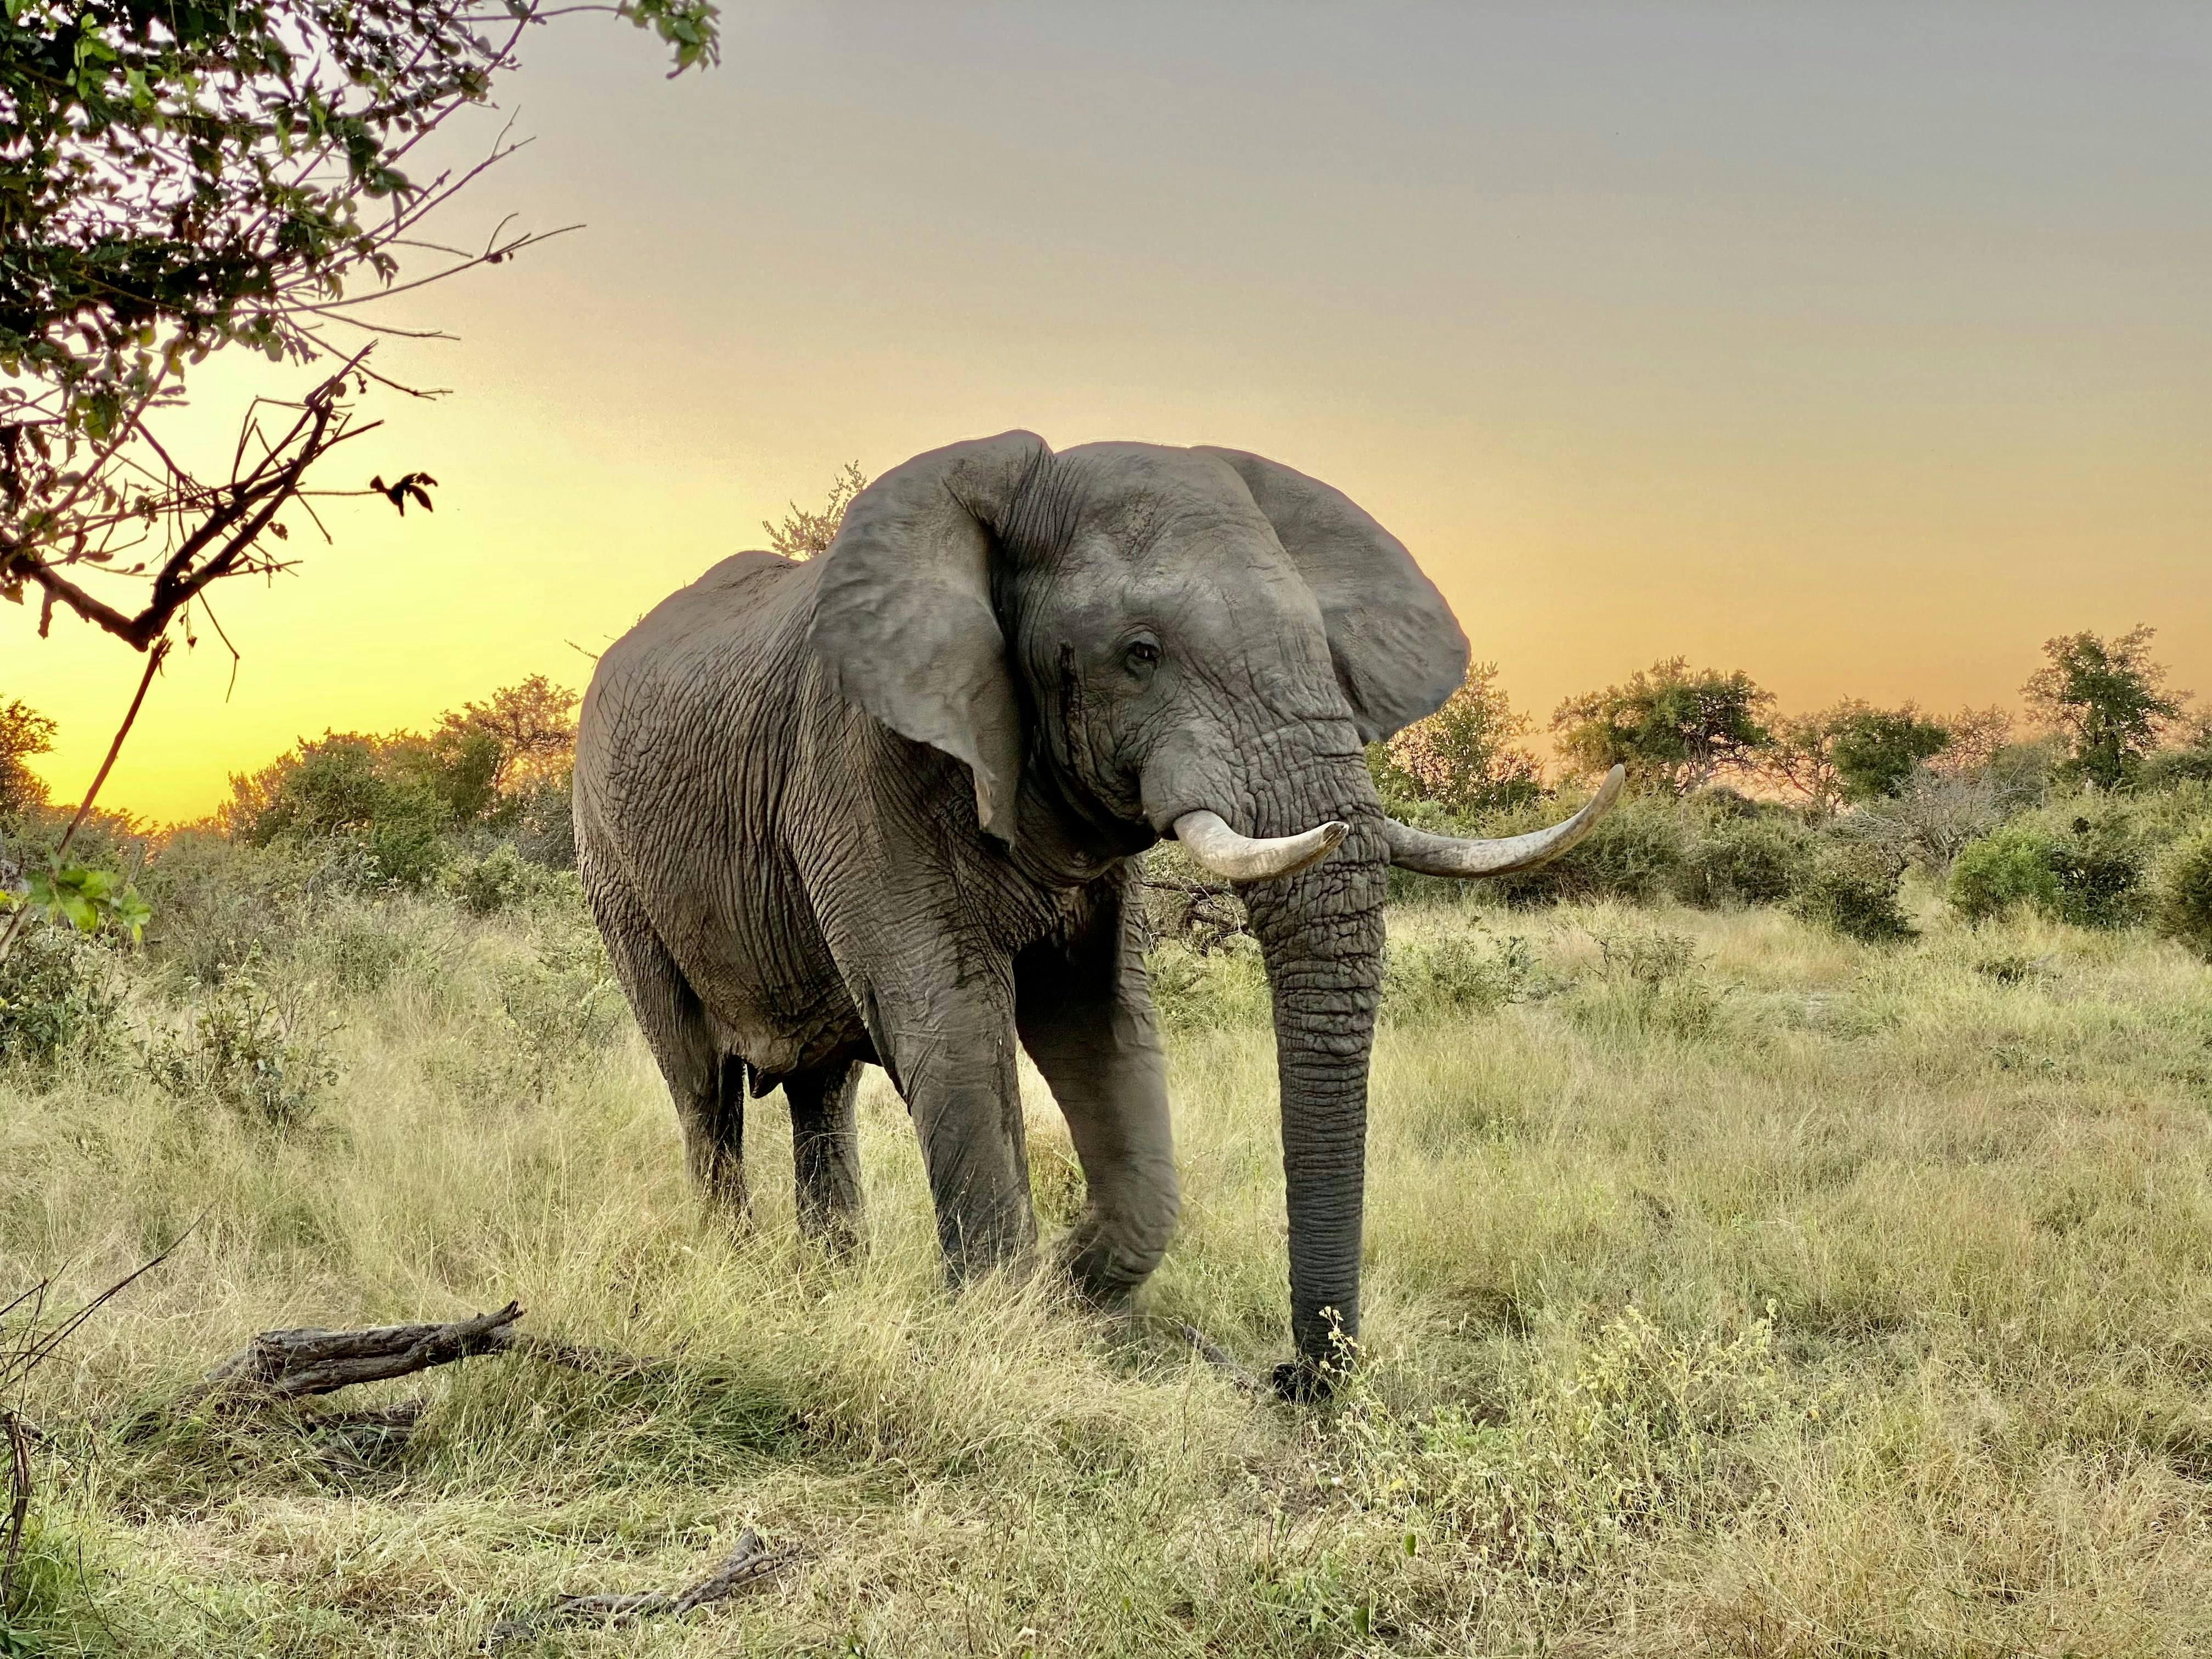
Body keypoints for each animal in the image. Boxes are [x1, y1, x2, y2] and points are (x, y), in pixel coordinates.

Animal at [573, 432, 1621, 1396]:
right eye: (1140, 655)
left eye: (1327, 650)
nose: (1290, 1376)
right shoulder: (856, 761)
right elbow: (949, 1023)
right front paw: (1006, 1324)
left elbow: (1101, 1021)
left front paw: (1067, 1291)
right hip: (613, 866)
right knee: (702, 1082)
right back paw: (737, 1268)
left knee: (821, 1087)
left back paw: (832, 1280)